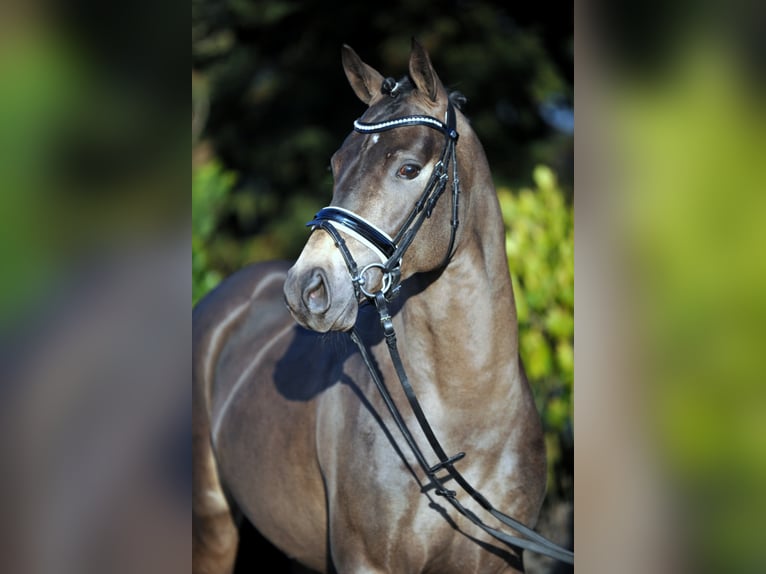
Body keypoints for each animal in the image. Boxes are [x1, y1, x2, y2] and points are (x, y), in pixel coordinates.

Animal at [193, 40, 555, 573]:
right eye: (336, 163)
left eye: (407, 168)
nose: (307, 288)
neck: (467, 412)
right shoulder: (366, 562)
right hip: (213, 526)